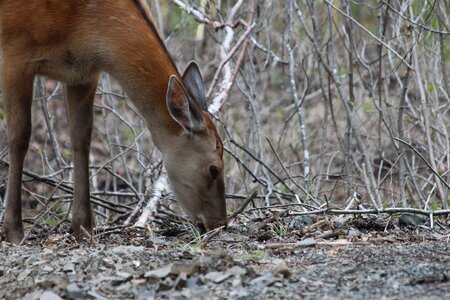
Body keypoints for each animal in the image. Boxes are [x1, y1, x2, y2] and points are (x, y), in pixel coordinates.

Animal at [0, 0, 227, 244]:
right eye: (215, 169)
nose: (220, 224)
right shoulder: (16, 52)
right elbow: (20, 136)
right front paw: (14, 231)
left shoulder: (81, 74)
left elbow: (82, 138)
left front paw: (84, 228)